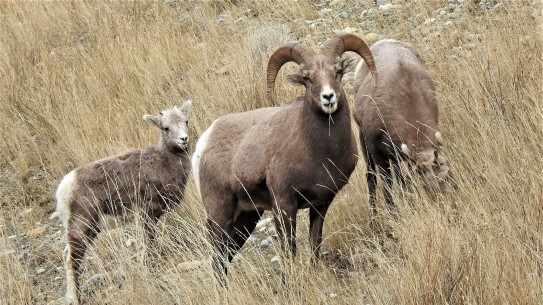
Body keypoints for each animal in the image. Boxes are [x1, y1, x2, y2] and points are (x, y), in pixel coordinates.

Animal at [53, 101, 192, 302]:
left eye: (185, 121)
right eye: (166, 128)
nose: (183, 139)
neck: (165, 162)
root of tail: (64, 189)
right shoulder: (147, 214)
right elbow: (147, 242)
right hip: (81, 228)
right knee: (72, 259)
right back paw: (75, 298)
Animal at [192, 33, 378, 280]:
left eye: (338, 71)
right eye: (307, 78)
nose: (328, 97)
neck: (319, 152)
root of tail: (203, 142)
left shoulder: (321, 204)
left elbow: (315, 242)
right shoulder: (284, 206)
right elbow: (289, 250)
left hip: (246, 218)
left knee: (224, 257)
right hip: (220, 214)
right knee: (218, 259)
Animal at [354, 39, 452, 217]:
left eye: (449, 177)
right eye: (427, 185)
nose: (448, 207)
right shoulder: (378, 153)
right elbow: (387, 185)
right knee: (372, 179)